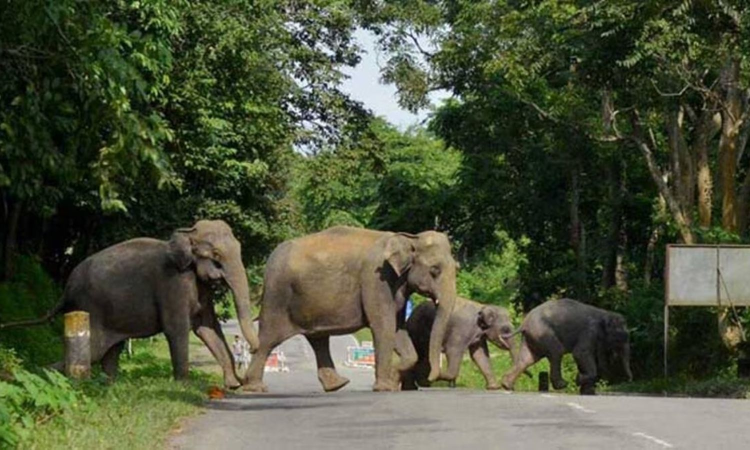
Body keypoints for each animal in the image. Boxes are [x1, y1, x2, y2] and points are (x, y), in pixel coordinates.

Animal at [0, 220, 258, 388]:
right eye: (216, 256)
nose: (245, 380)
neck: (187, 233)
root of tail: (66, 289)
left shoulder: (199, 287)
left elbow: (208, 327)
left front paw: (232, 385)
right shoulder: (172, 283)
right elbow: (177, 329)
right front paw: (184, 386)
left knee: (111, 350)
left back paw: (110, 386)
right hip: (89, 308)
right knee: (94, 351)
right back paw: (26, 377)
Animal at [242, 226, 458, 392]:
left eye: (456, 267)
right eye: (435, 270)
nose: (430, 378)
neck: (409, 237)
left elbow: (397, 328)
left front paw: (393, 379)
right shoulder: (376, 279)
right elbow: (383, 326)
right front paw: (385, 387)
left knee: (318, 339)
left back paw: (337, 385)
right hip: (277, 295)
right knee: (269, 338)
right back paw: (254, 388)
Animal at [501, 298, 633, 395]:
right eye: (621, 337)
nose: (630, 379)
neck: (605, 313)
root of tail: (524, 323)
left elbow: (584, 358)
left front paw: (587, 391)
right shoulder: (589, 331)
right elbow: (580, 353)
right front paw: (578, 380)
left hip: (532, 337)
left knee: (527, 359)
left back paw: (506, 386)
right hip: (542, 332)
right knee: (556, 352)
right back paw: (563, 384)